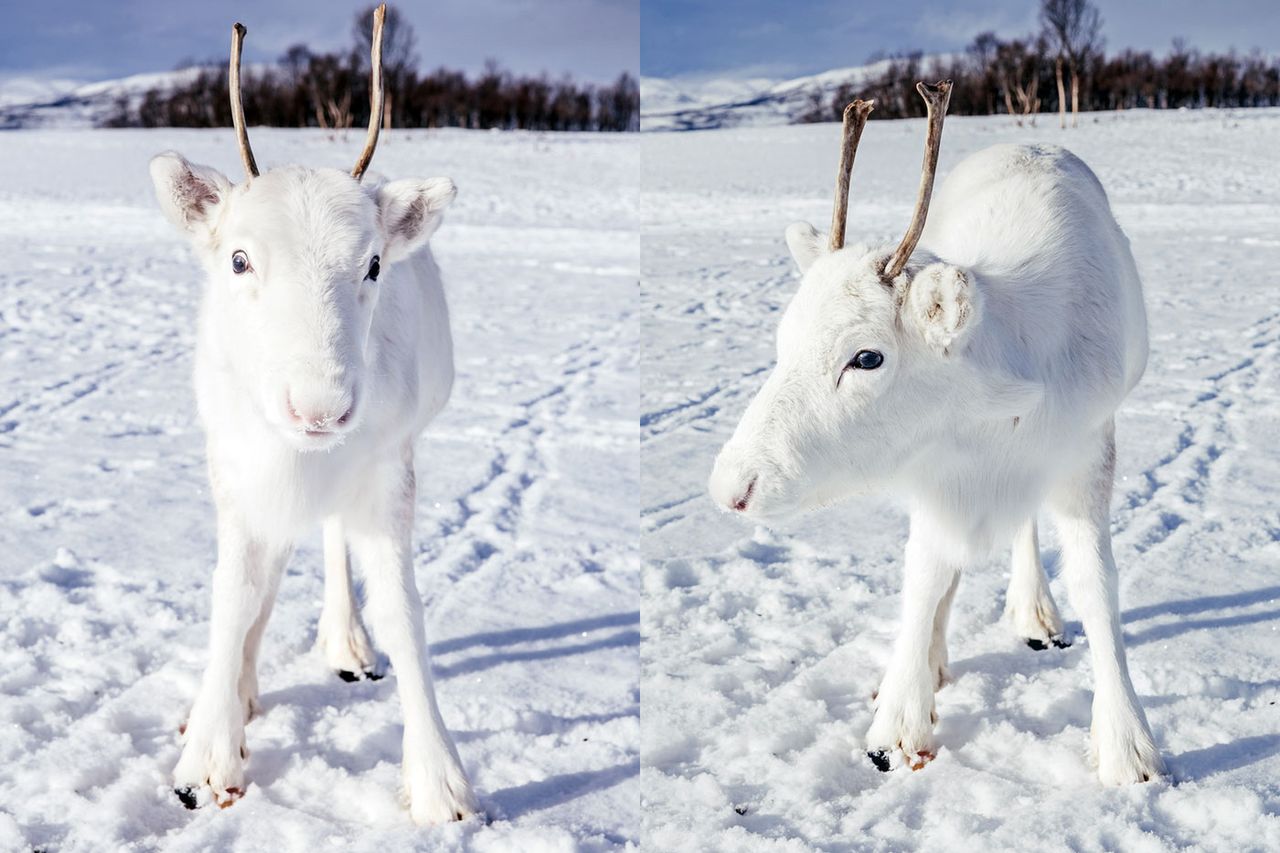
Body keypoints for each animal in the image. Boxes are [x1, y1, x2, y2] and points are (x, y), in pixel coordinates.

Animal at [149, 4, 478, 819]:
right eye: (238, 258)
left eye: (373, 263)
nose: (322, 407)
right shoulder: (236, 468)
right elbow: (235, 593)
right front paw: (208, 751)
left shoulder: (389, 468)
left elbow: (402, 608)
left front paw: (440, 781)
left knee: (330, 543)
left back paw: (344, 643)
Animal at [706, 83, 1167, 778]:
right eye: (783, 340)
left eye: (867, 357)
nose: (733, 488)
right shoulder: (931, 469)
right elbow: (924, 576)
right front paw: (898, 719)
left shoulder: (1087, 448)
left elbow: (1096, 584)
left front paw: (1126, 745)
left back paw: (1033, 612)